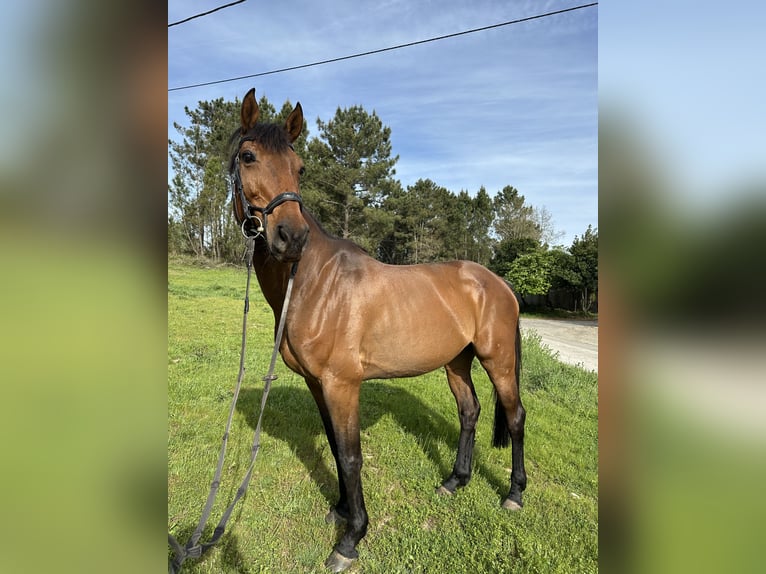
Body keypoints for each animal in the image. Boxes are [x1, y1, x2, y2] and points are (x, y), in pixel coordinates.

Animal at [229, 88, 527, 572]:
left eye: (300, 167)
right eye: (248, 156)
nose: (291, 237)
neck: (313, 281)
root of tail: (498, 283)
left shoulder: (343, 384)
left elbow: (351, 456)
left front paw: (351, 539)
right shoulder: (317, 384)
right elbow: (335, 447)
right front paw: (340, 509)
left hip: (497, 359)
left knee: (515, 417)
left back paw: (515, 493)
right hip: (456, 363)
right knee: (470, 411)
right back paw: (455, 481)